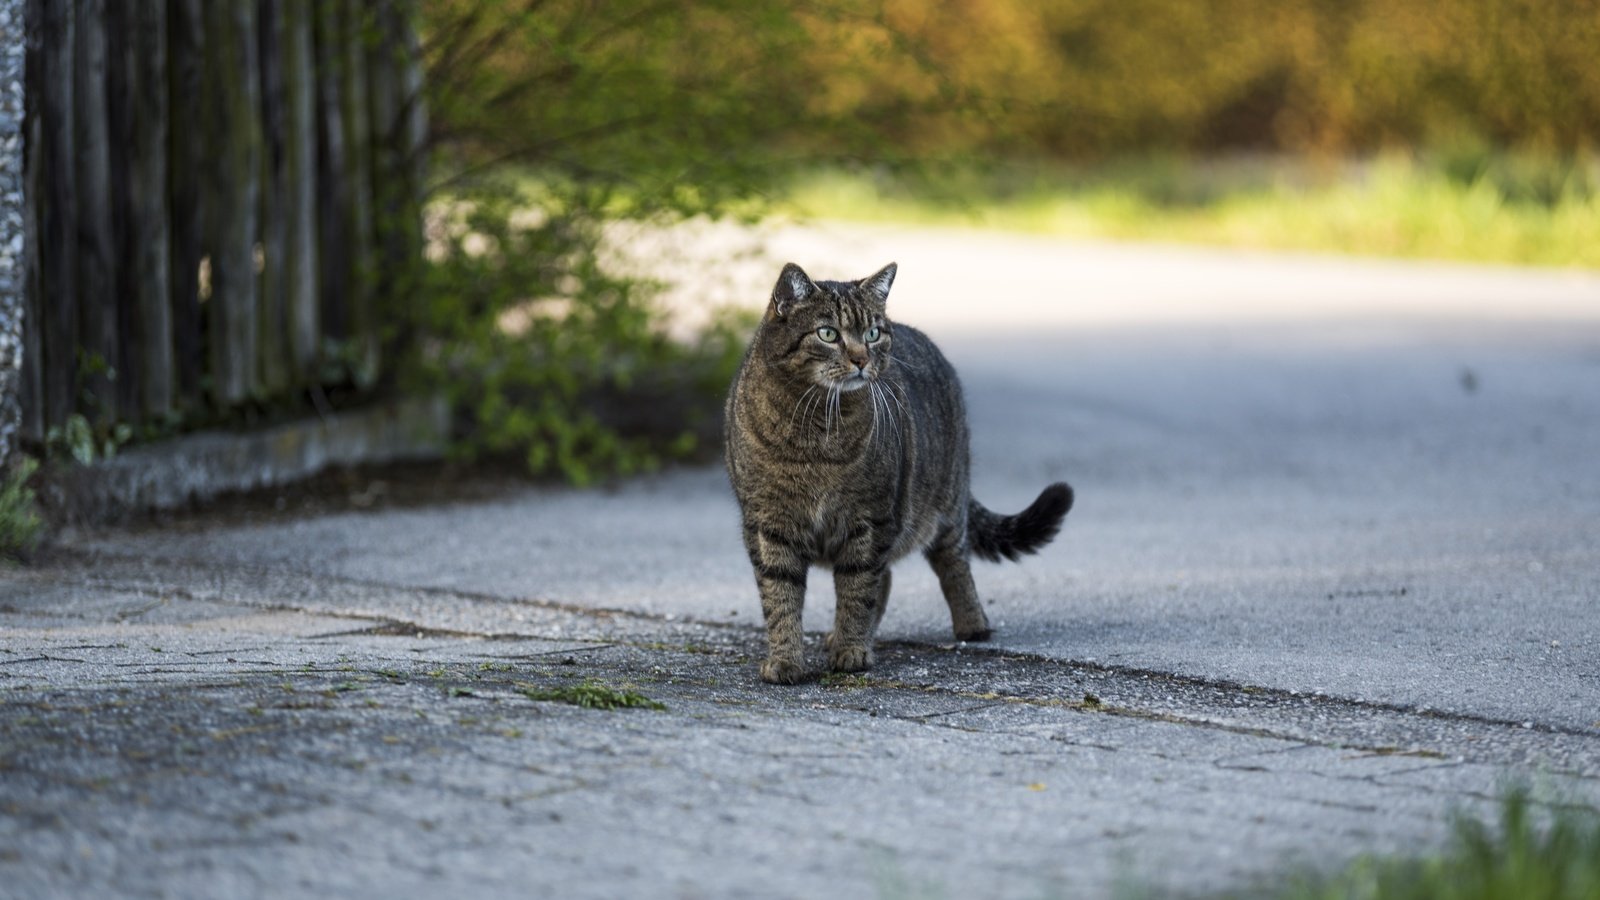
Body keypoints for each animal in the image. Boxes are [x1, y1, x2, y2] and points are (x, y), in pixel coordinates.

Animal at [729, 259, 1075, 679]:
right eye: (828, 334)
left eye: (873, 333)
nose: (861, 359)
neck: (817, 431)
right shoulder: (769, 526)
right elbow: (780, 596)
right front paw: (785, 660)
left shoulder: (870, 519)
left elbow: (858, 588)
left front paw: (851, 650)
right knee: (889, 576)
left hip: (945, 507)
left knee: (952, 565)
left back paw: (972, 625)